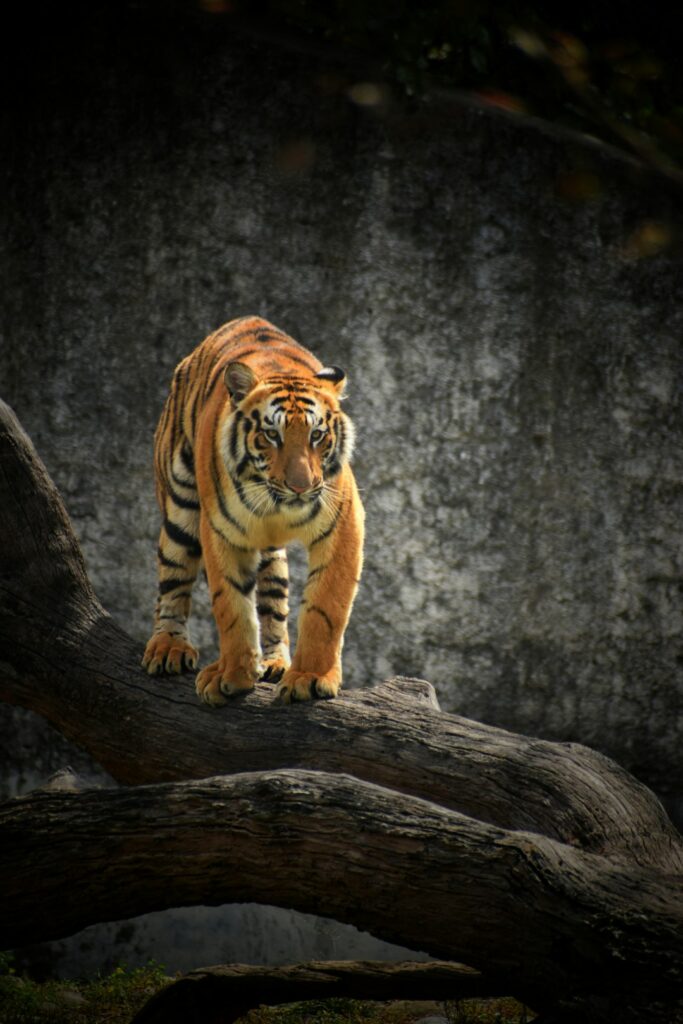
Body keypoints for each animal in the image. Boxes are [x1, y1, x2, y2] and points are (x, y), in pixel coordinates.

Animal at [141, 315, 364, 705]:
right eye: (272, 435)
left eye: (317, 435)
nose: (301, 486)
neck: (276, 504)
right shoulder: (220, 530)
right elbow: (232, 607)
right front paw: (231, 675)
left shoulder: (343, 524)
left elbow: (325, 607)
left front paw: (309, 677)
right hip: (180, 510)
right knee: (173, 581)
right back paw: (168, 646)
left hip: (272, 557)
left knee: (274, 603)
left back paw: (276, 662)